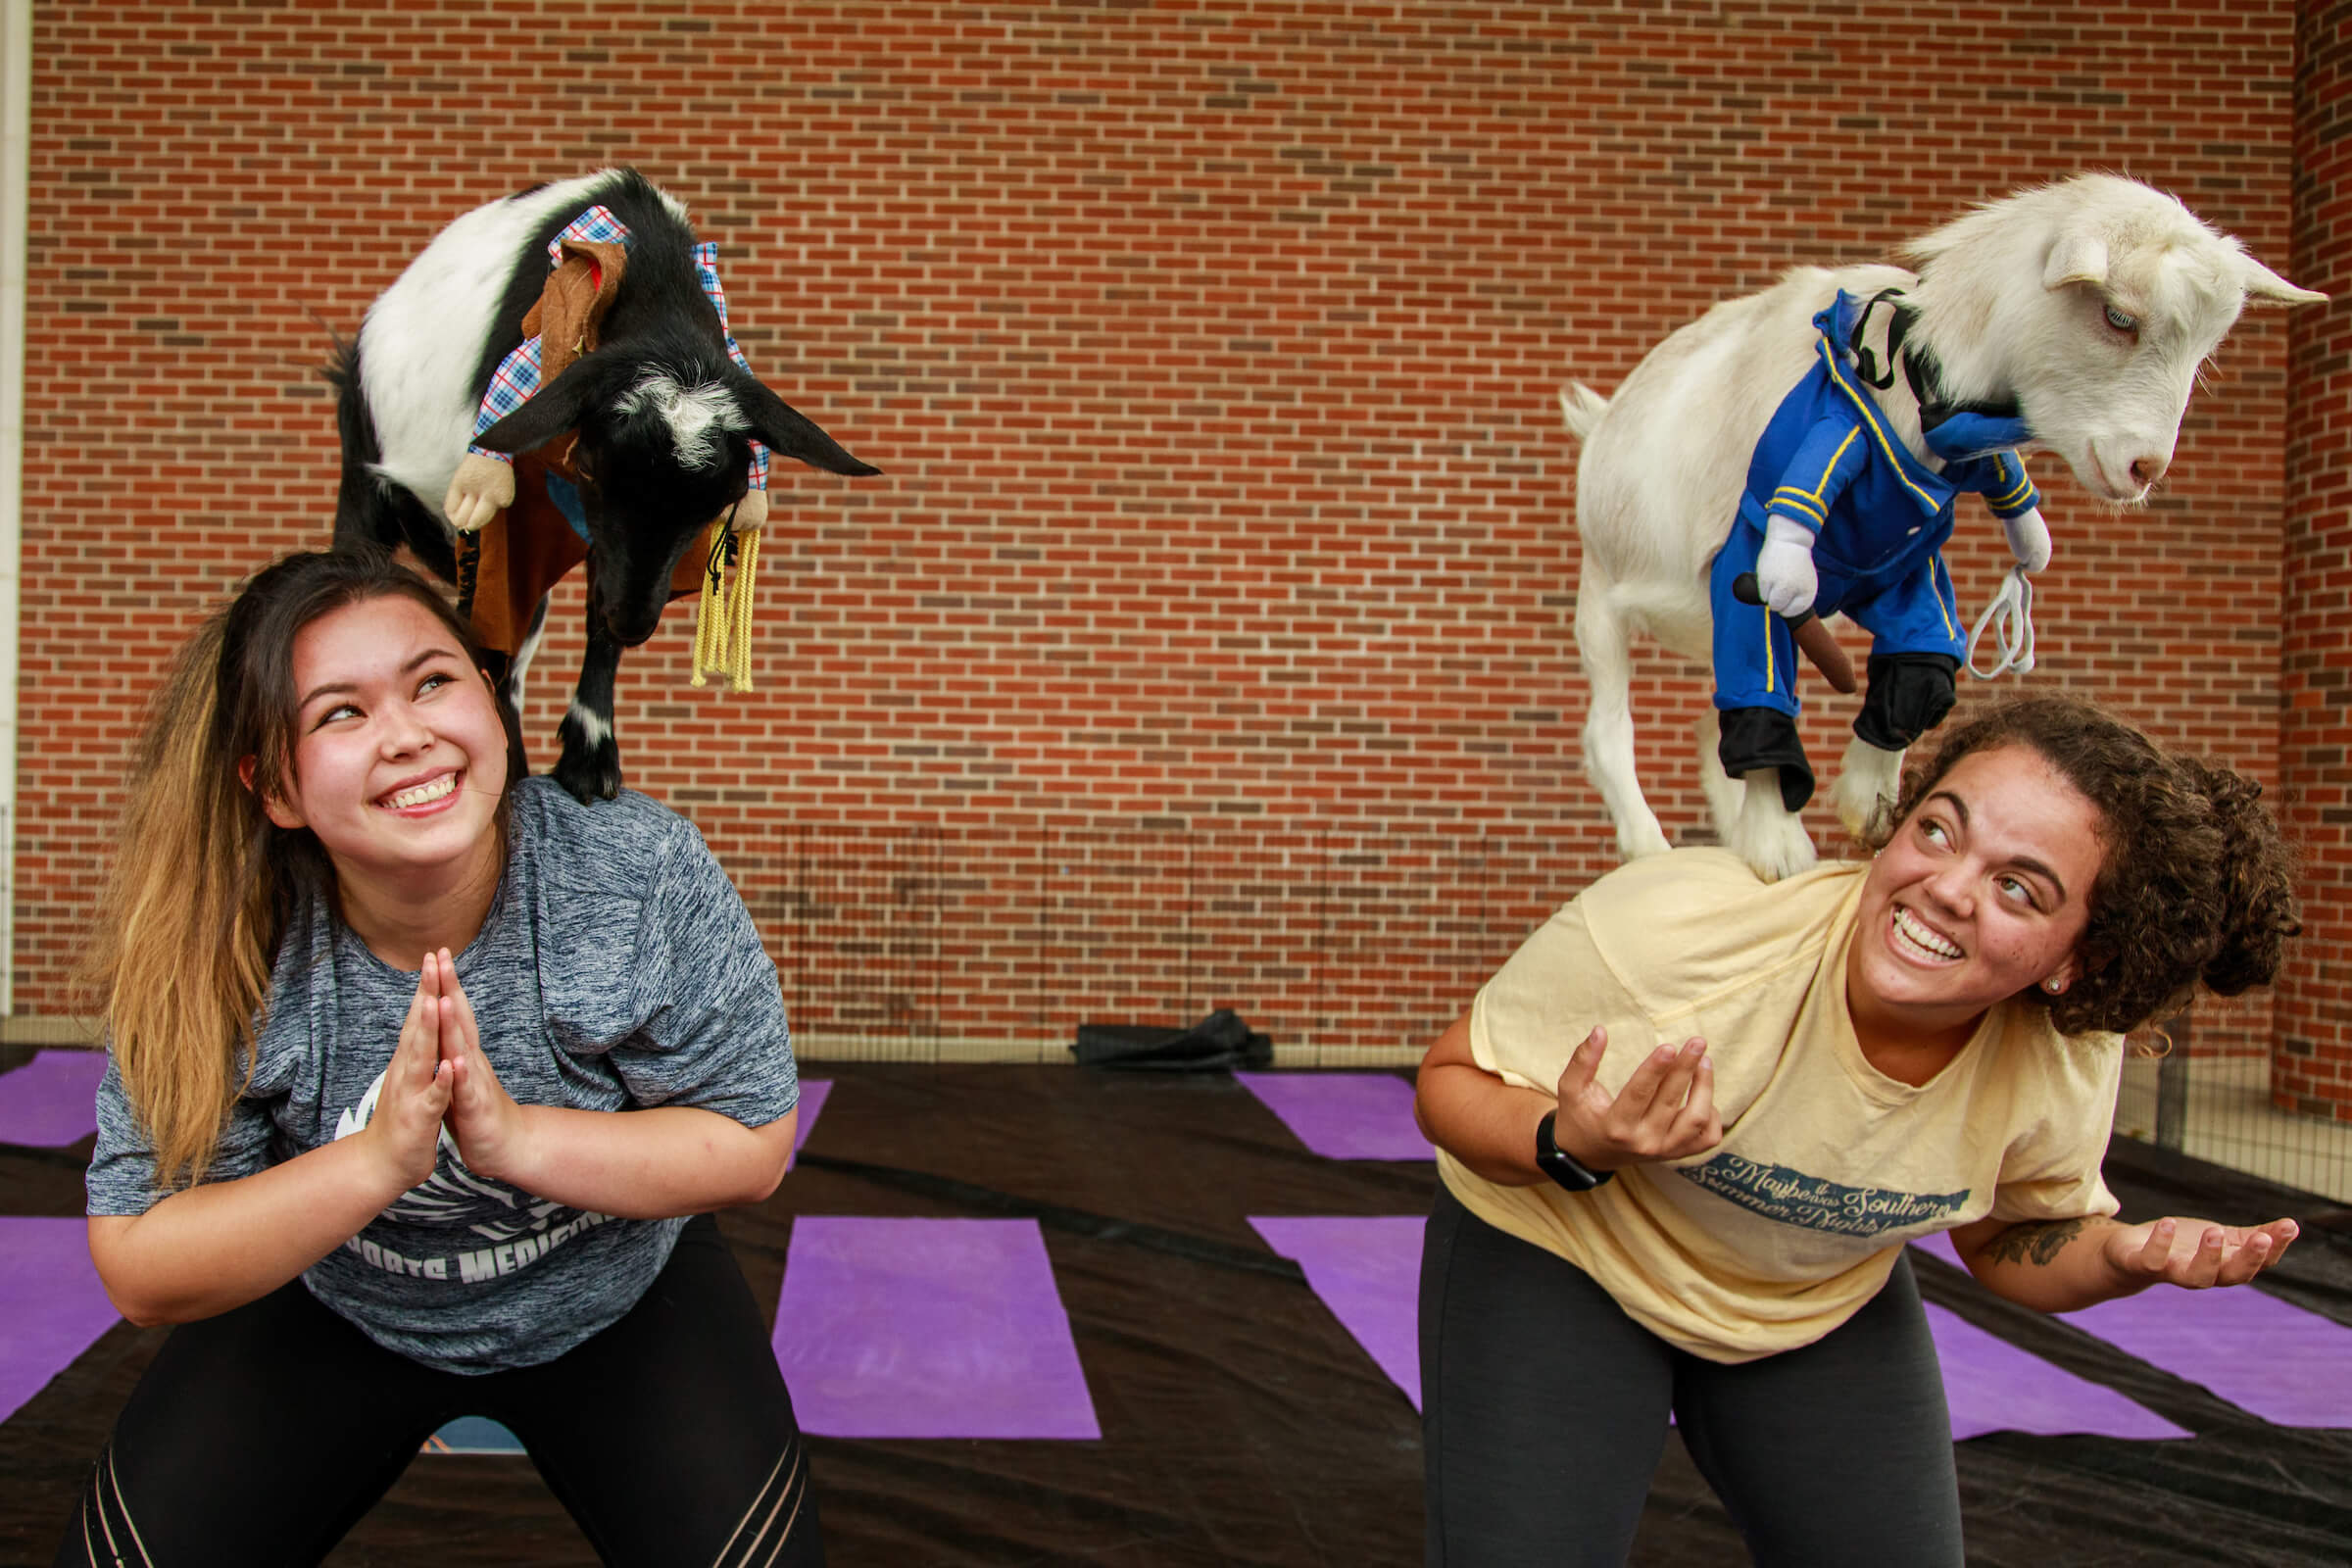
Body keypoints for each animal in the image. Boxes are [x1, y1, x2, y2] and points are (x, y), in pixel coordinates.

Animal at [331, 170, 884, 804]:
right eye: (592, 469)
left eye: (721, 500)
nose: (636, 623)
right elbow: (485, 639)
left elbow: (594, 615)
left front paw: (590, 756)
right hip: (365, 480)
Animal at [1561, 177, 2314, 883]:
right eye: (2119, 316)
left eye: (2206, 350)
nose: (2145, 467)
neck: (1907, 392)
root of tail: (1603, 424)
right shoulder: (1753, 563)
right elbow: (1762, 693)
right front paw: (1779, 846)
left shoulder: (1905, 567)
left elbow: (1921, 665)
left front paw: (1866, 802)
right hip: (1602, 589)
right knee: (1611, 728)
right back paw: (1649, 846)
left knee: (1705, 724)